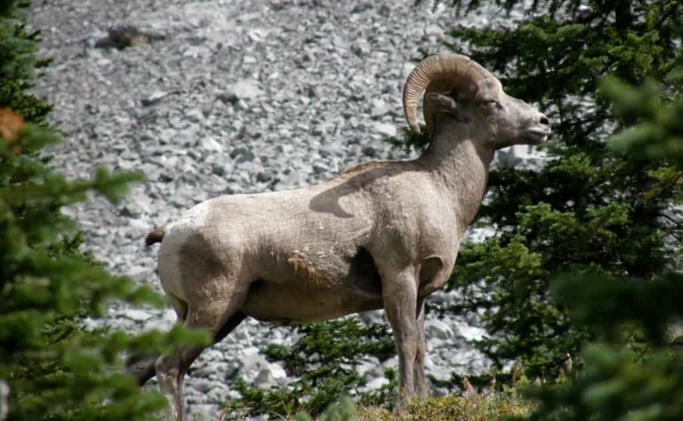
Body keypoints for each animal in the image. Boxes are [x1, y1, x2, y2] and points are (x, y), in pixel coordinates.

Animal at [127, 53, 551, 420]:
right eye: (489, 102)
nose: (544, 123)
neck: (439, 187)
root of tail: (173, 232)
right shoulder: (399, 279)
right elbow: (406, 342)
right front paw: (405, 406)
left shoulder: (420, 294)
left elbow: (420, 348)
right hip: (210, 310)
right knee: (168, 367)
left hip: (217, 316)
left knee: (148, 368)